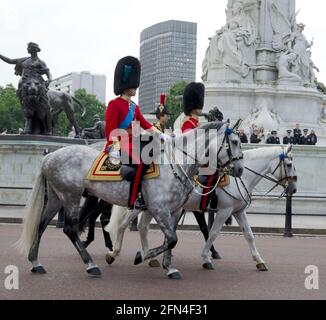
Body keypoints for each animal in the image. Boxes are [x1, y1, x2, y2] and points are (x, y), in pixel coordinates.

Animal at [17, 121, 242, 276]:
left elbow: (171, 239)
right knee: (70, 229)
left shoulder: (174, 210)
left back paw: (35, 262)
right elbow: (172, 239)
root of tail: (49, 156)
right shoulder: (158, 208)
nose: (239, 169)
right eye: (235, 142)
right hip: (70, 196)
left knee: (41, 225)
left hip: (57, 198)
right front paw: (142, 256)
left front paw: (168, 267)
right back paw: (91, 265)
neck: (177, 164)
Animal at [108, 145, 296, 278]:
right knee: (125, 224)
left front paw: (259, 261)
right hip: (150, 206)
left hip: (154, 208)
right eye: (289, 164)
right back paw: (117, 253)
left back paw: (148, 256)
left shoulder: (238, 211)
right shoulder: (224, 211)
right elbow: (212, 233)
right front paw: (206, 258)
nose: (293, 189)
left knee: (141, 227)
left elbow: (249, 235)